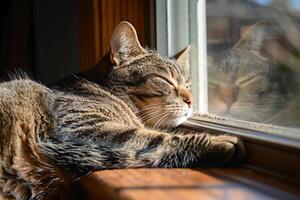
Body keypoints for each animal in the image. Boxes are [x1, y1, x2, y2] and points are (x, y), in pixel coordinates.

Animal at [0, 21, 244, 199]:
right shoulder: (82, 131)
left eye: (188, 85)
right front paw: (220, 141)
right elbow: (158, 139)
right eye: (166, 80)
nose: (191, 100)